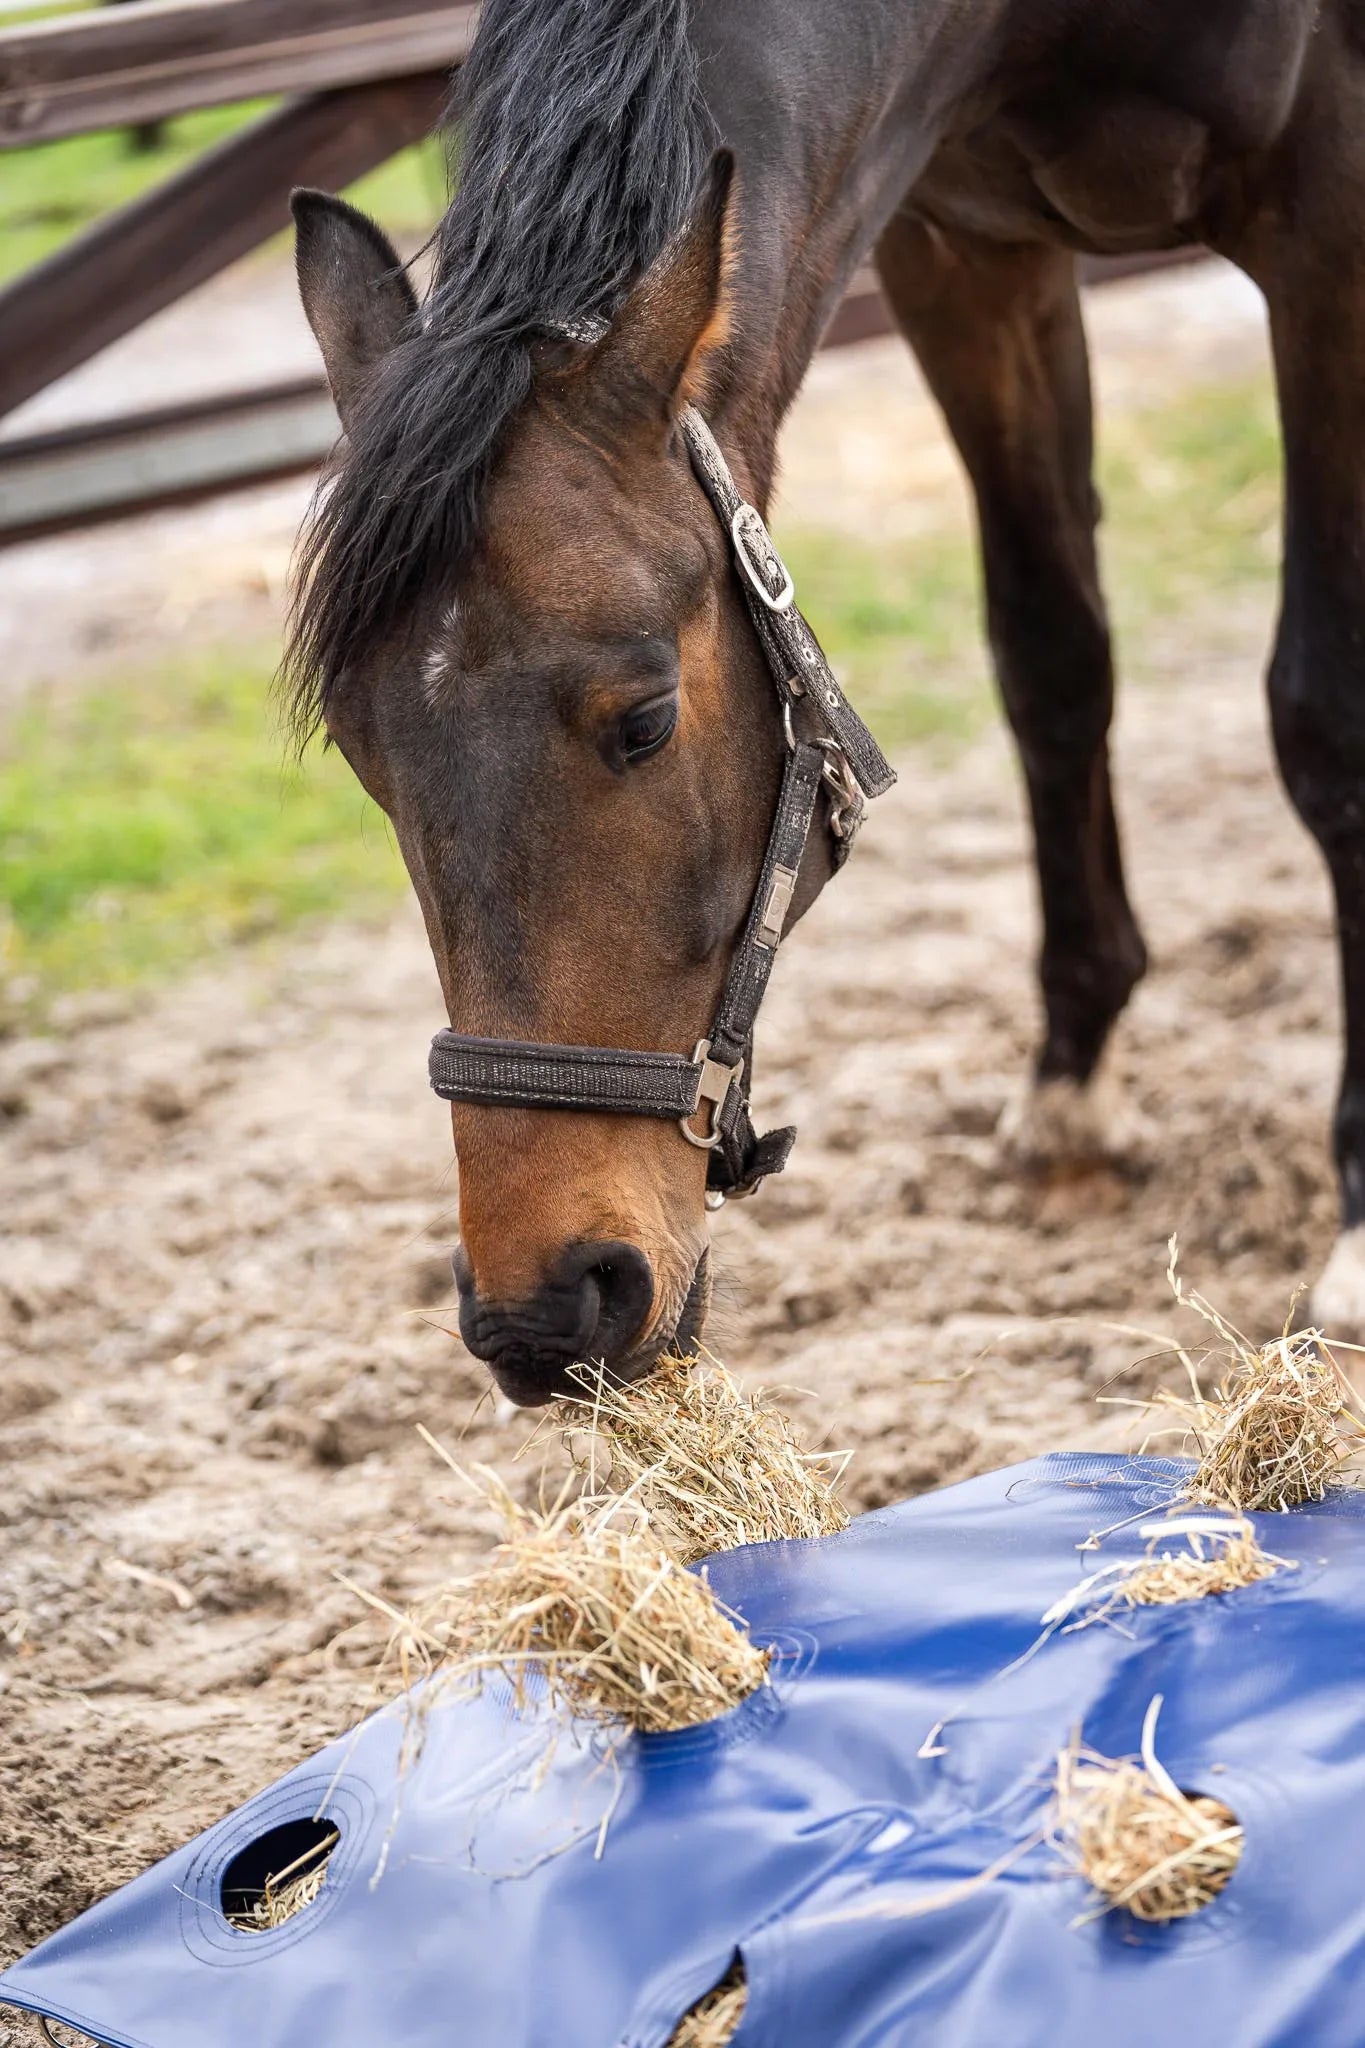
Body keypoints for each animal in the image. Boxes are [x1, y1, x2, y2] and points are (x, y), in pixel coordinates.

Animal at [285, 0, 1365, 1407]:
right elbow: (1053, 662)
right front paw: (1072, 1086)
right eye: (366, 759)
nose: (543, 1311)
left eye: (645, 719)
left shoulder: (1328, 223)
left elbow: (1326, 719)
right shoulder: (966, 257)